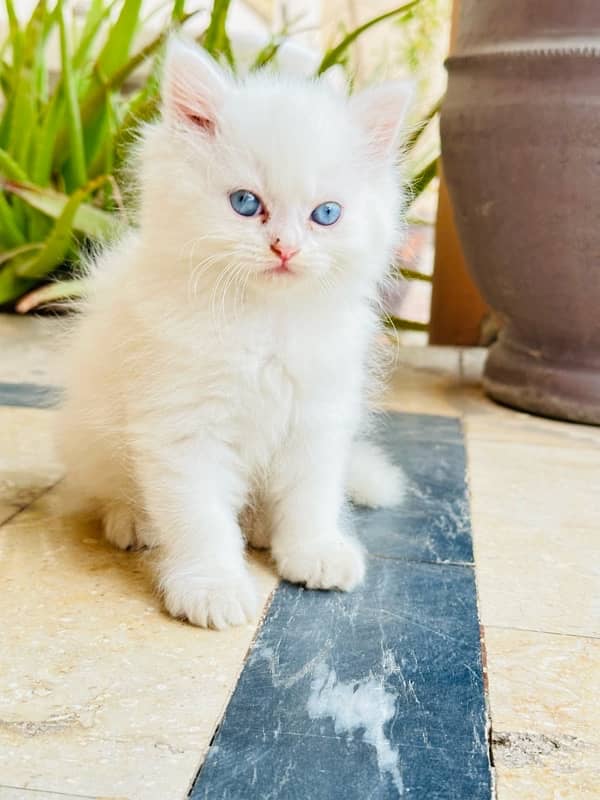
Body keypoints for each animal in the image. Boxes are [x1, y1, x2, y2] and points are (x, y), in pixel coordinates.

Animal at [56, 39, 410, 632]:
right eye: (246, 203)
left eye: (326, 214)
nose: (285, 248)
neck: (265, 322)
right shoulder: (181, 426)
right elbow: (200, 518)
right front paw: (212, 586)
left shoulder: (318, 415)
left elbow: (312, 495)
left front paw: (313, 549)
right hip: (90, 435)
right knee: (108, 489)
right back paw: (134, 520)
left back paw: (264, 527)